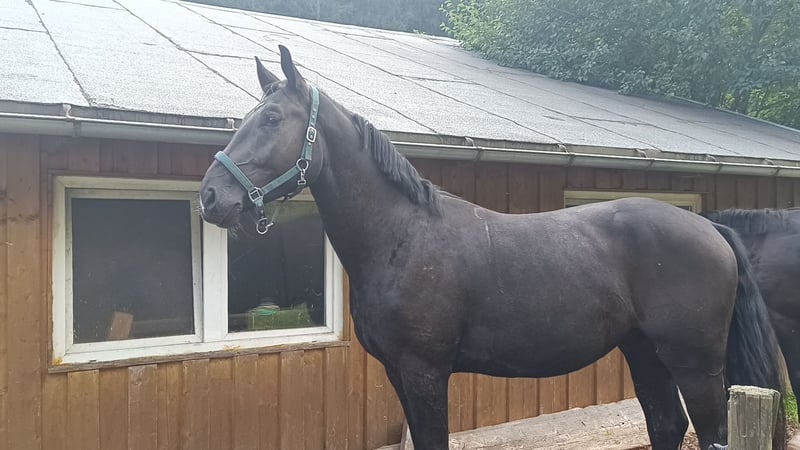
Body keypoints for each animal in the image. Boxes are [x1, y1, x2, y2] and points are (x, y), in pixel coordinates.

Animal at [198, 45, 784, 450]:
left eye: (272, 119)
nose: (211, 196)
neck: (402, 238)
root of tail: (709, 229)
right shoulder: (399, 374)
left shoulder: (426, 373)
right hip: (644, 351)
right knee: (665, 423)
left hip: (696, 365)